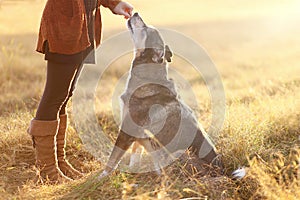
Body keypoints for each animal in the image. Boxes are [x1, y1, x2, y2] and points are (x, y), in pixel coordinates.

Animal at [98, 12, 223, 178]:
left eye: (147, 29)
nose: (135, 13)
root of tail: (222, 172)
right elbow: (135, 152)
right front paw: (133, 168)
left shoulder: (127, 128)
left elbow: (113, 157)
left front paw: (101, 177)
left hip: (178, 153)